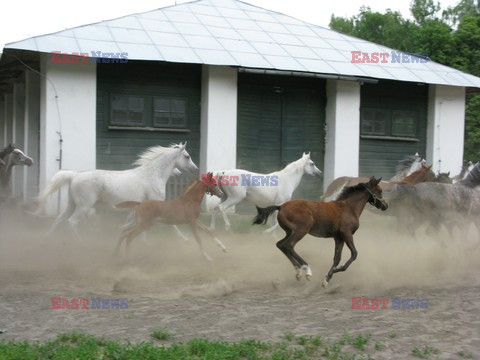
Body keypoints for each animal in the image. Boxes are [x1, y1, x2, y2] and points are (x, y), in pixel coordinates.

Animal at [36, 142, 199, 238]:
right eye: (187, 156)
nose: (195, 169)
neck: (152, 175)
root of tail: (75, 175)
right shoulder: (157, 205)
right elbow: (171, 225)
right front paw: (185, 239)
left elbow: (135, 224)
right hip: (83, 206)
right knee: (72, 222)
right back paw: (80, 243)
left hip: (72, 205)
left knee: (59, 220)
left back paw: (46, 240)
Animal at [253, 177, 388, 286]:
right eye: (380, 190)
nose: (386, 205)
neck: (349, 208)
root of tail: (281, 206)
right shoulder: (347, 234)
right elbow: (354, 254)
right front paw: (336, 270)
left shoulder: (338, 237)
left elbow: (337, 258)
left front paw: (327, 279)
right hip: (302, 229)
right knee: (289, 245)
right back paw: (307, 270)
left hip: (289, 231)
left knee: (280, 245)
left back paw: (298, 272)